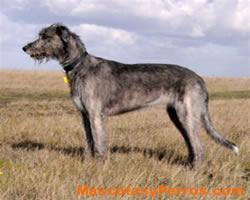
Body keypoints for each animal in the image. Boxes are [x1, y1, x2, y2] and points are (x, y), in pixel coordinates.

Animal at [22, 23, 238, 167]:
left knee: (199, 146)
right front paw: (88, 164)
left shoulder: (96, 115)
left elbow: (99, 144)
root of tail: (200, 79)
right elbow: (89, 141)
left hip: (187, 114)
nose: (24, 48)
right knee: (191, 144)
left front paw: (99, 168)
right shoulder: (84, 115)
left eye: (45, 36)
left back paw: (195, 171)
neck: (79, 65)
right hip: (177, 116)